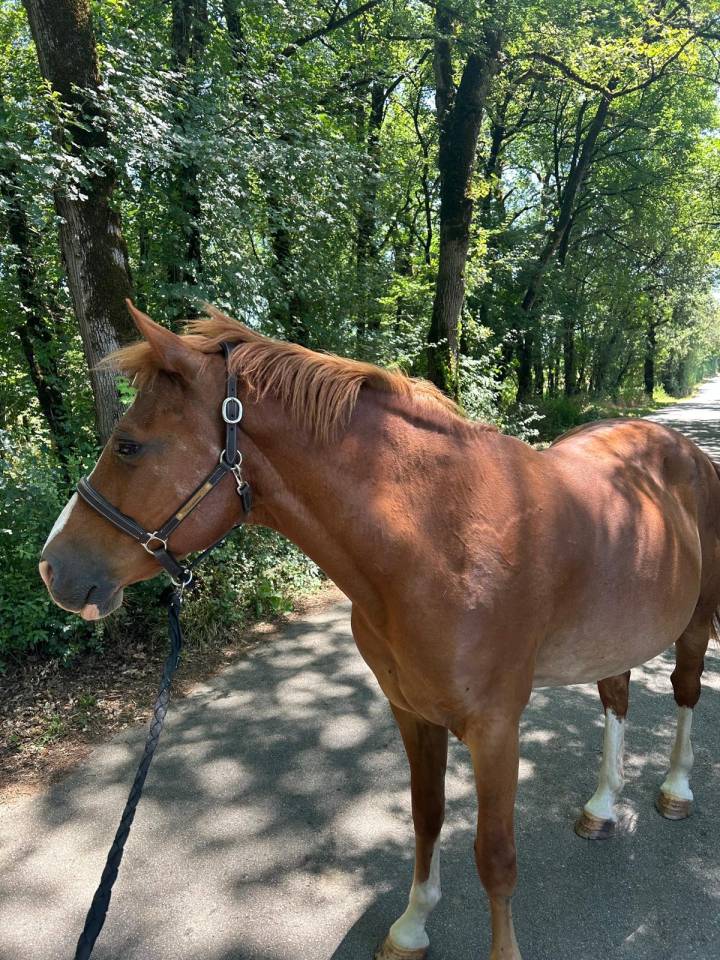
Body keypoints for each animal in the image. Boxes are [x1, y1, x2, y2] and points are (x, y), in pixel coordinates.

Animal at [39, 303, 720, 960]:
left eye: (128, 446)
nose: (52, 567)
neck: (441, 541)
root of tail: (683, 450)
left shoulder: (496, 727)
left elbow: (496, 857)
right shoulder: (412, 713)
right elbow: (426, 817)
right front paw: (411, 928)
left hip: (695, 622)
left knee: (685, 690)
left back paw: (676, 790)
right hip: (615, 635)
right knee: (617, 696)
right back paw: (602, 807)